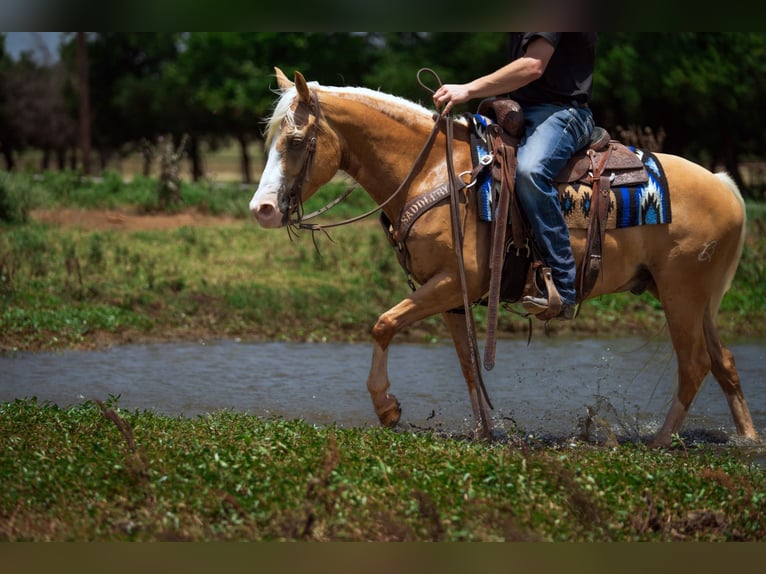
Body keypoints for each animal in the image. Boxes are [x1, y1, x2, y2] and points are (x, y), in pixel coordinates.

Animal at [249, 67, 758, 447]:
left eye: (297, 141)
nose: (262, 209)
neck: (434, 171)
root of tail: (723, 184)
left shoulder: (453, 282)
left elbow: (384, 323)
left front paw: (386, 407)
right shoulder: (449, 294)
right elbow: (468, 364)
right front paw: (485, 431)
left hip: (681, 294)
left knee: (694, 365)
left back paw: (658, 443)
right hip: (698, 300)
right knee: (724, 363)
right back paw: (748, 439)